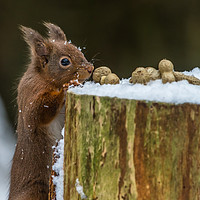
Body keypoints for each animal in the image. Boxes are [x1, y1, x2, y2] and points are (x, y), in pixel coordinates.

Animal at [9, 22, 94, 199]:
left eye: (78, 50)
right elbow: (41, 113)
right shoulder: (31, 99)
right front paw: (66, 88)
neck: (45, 79)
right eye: (65, 61)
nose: (90, 68)